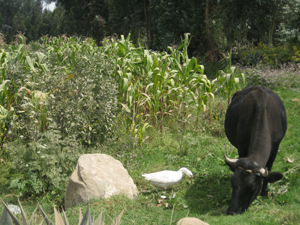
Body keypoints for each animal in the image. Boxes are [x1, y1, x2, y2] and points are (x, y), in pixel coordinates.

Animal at [224, 85, 288, 215]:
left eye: (252, 188)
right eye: (233, 183)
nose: (232, 211)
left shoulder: (275, 149)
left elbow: (269, 169)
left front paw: (264, 193)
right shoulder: (241, 147)